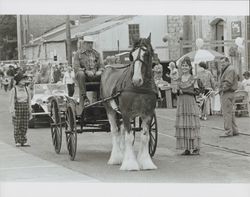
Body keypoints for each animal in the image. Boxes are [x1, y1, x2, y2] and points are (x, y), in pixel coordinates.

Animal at [100, 33, 157, 170]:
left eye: (147, 54)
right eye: (132, 55)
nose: (136, 80)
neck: (140, 88)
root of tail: (108, 67)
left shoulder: (148, 114)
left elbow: (145, 137)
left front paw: (146, 162)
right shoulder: (126, 113)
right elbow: (129, 136)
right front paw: (130, 164)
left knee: (121, 131)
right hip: (109, 109)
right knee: (115, 131)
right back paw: (116, 158)